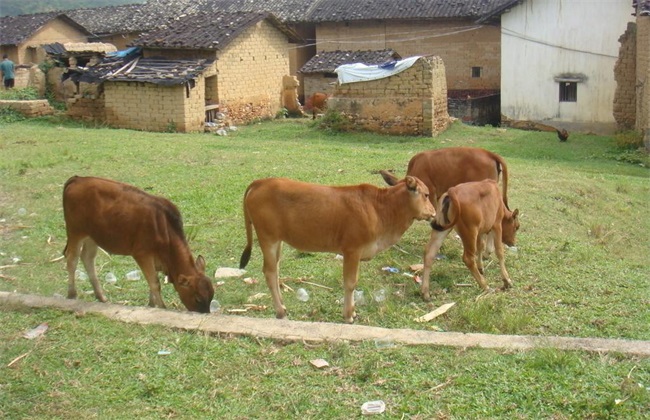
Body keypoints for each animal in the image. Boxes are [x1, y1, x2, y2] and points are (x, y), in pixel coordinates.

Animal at [61, 176, 213, 314]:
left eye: (212, 296)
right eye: (198, 299)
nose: (205, 313)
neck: (164, 229)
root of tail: (78, 178)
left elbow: (151, 282)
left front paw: (152, 304)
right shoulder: (142, 254)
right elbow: (155, 283)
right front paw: (162, 307)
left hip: (92, 236)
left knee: (87, 258)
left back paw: (101, 297)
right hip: (75, 231)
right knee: (72, 259)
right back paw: (72, 294)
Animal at [235, 176, 432, 324]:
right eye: (426, 194)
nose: (434, 212)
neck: (380, 208)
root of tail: (261, 182)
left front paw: (352, 311)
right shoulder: (352, 250)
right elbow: (350, 283)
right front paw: (348, 315)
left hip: (278, 242)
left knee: (275, 271)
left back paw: (282, 305)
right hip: (268, 239)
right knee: (269, 272)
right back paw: (280, 312)